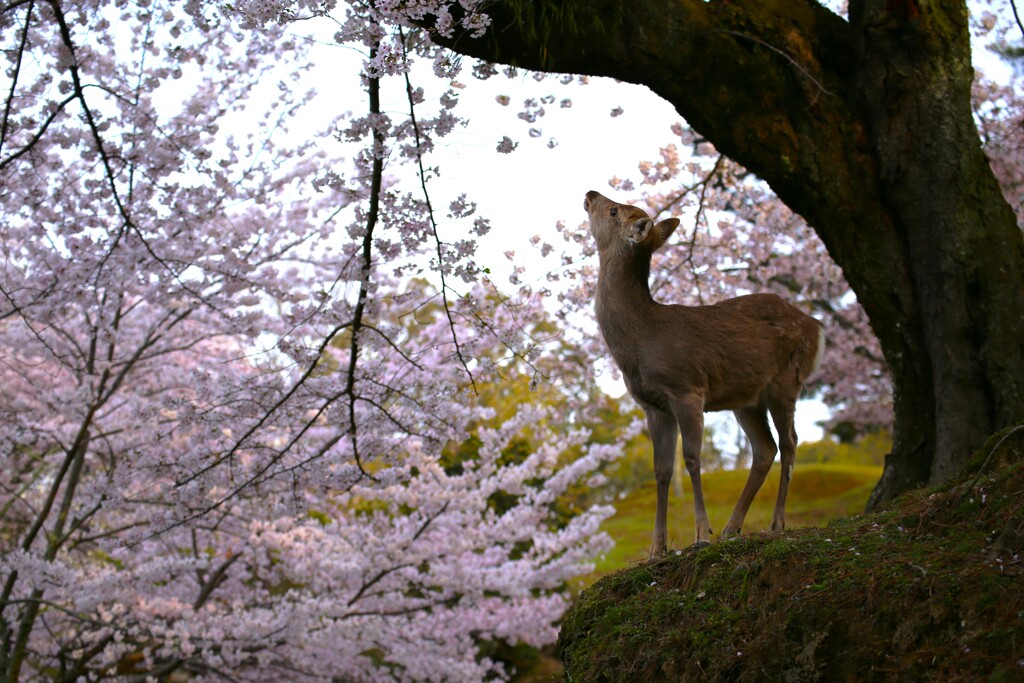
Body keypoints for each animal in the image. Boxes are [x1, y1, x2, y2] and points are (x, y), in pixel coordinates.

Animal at [585, 189, 823, 557]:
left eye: (613, 210)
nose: (590, 193)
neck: (642, 340)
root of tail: (817, 327)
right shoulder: (653, 405)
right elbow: (661, 470)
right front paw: (656, 549)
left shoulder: (687, 388)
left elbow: (693, 458)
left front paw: (700, 534)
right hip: (746, 400)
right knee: (765, 448)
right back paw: (731, 528)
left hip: (787, 380)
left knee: (790, 443)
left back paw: (775, 522)